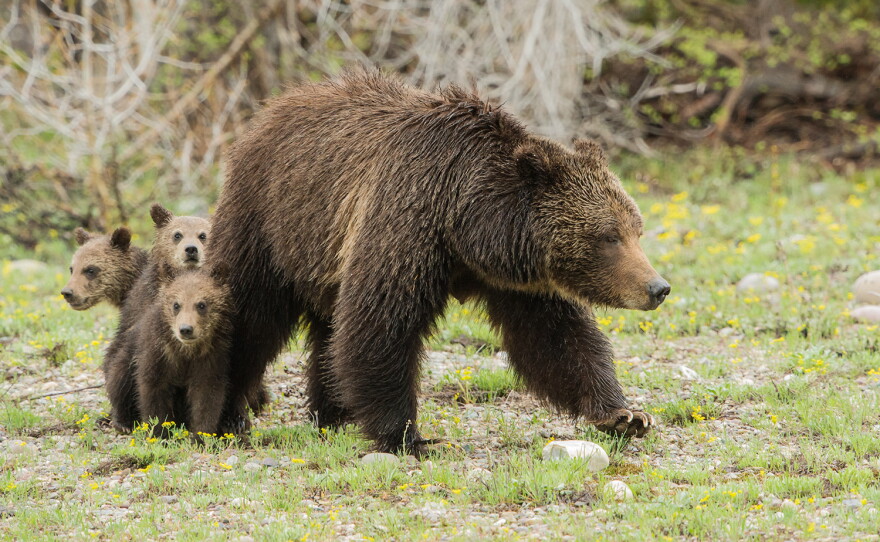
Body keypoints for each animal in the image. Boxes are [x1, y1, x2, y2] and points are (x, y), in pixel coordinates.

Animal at [133, 264, 232, 436]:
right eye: (176, 305)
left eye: (201, 304)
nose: (186, 329)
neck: (186, 351)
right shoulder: (158, 354)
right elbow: (153, 392)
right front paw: (158, 432)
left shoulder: (211, 357)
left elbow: (207, 397)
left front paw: (201, 435)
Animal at [209, 70, 670, 453]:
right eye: (609, 237)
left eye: (637, 229)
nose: (658, 288)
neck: (466, 224)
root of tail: (271, 108)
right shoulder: (409, 219)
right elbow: (381, 324)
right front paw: (409, 437)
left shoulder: (518, 280)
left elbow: (556, 338)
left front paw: (625, 414)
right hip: (269, 221)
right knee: (251, 317)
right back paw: (229, 415)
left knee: (328, 330)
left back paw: (335, 414)